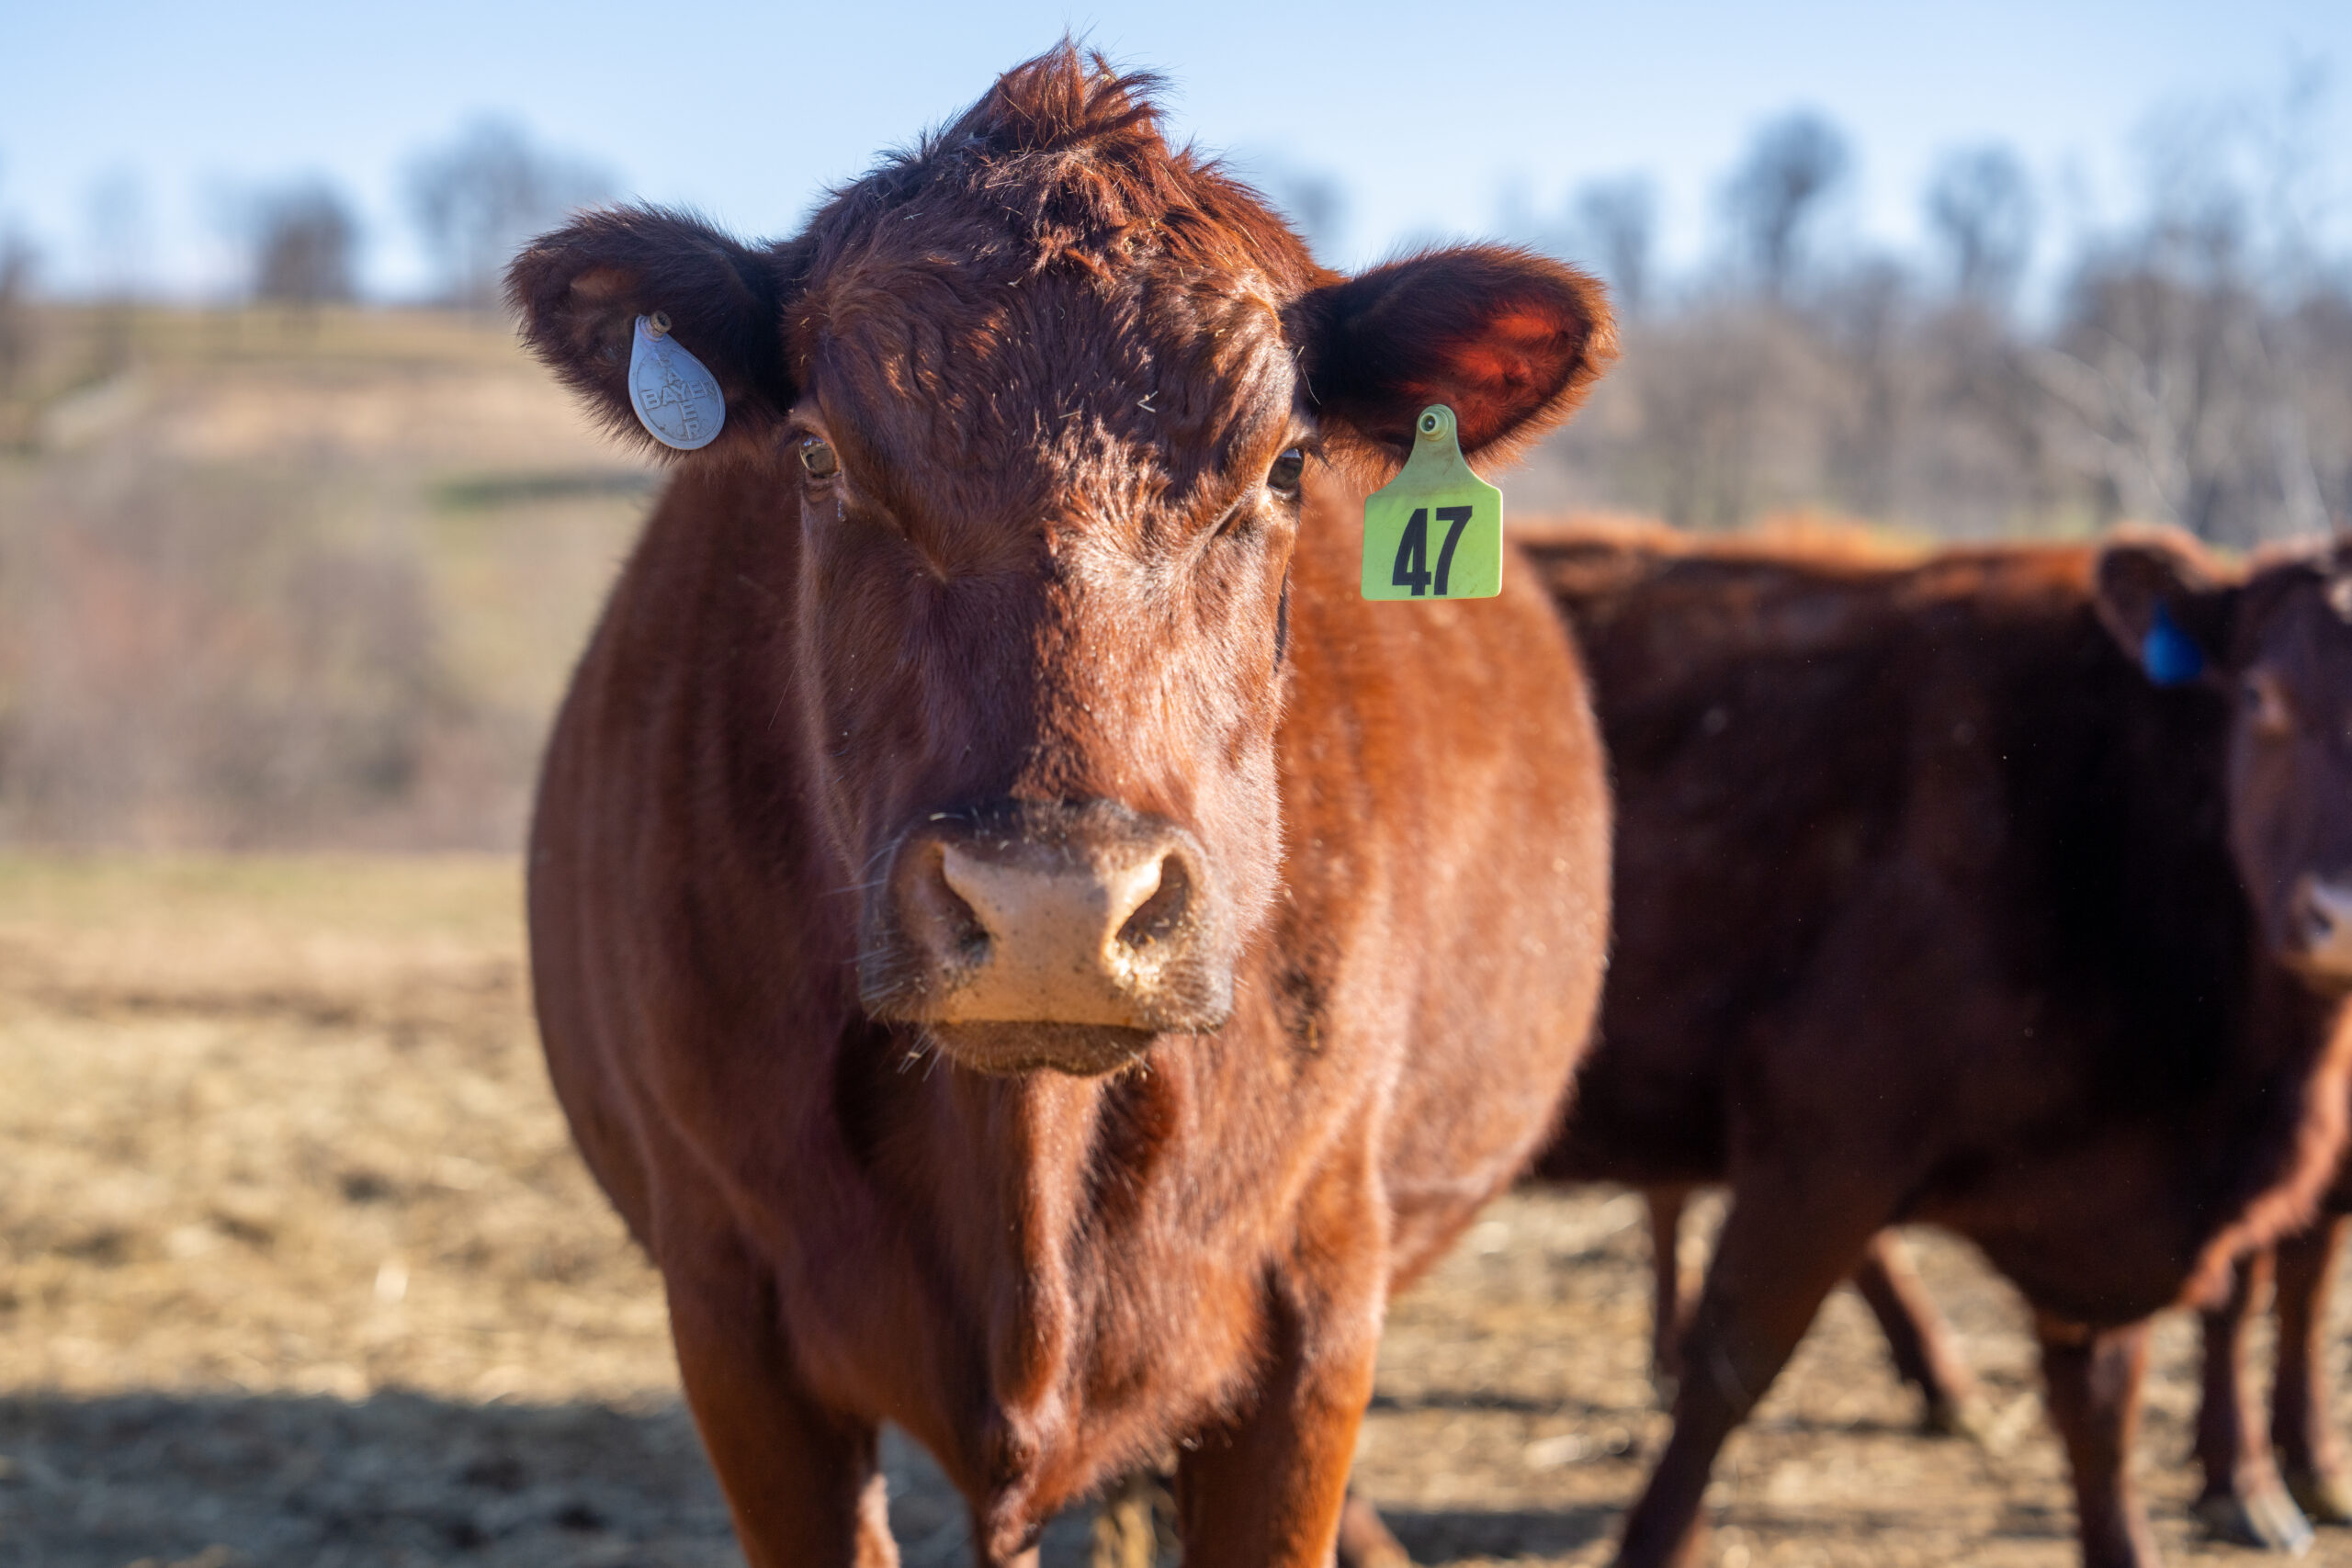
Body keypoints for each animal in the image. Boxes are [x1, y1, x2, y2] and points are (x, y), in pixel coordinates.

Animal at [1505, 531, 2352, 1568]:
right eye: (2262, 695)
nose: (2339, 913)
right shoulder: (1822, 1140)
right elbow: (1731, 1370)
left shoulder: (2092, 1203)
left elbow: (2103, 1407)